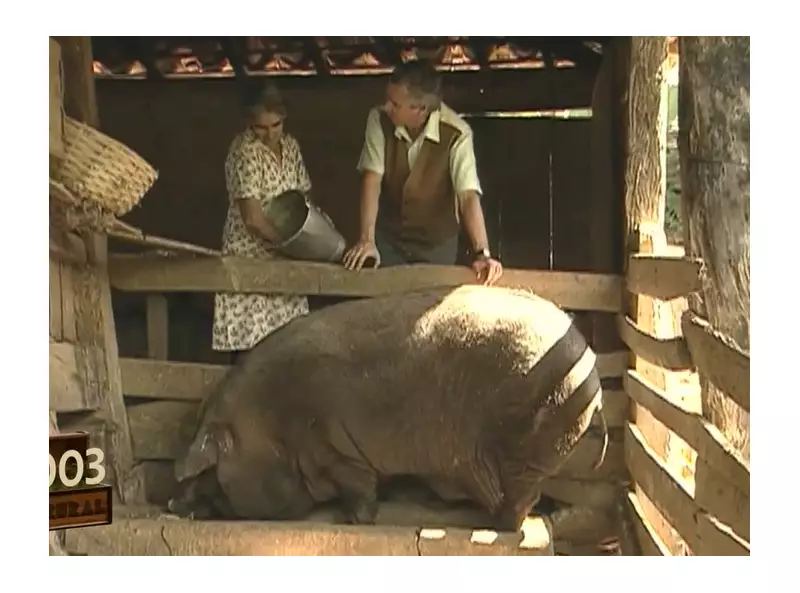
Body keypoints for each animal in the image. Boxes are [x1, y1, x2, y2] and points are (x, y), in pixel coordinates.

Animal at [169, 285, 607, 532]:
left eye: (209, 470)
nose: (172, 501)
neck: (272, 424)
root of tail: (590, 361)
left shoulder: (336, 448)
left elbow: (359, 489)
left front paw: (355, 520)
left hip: (531, 444)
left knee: (522, 501)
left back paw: (493, 523)